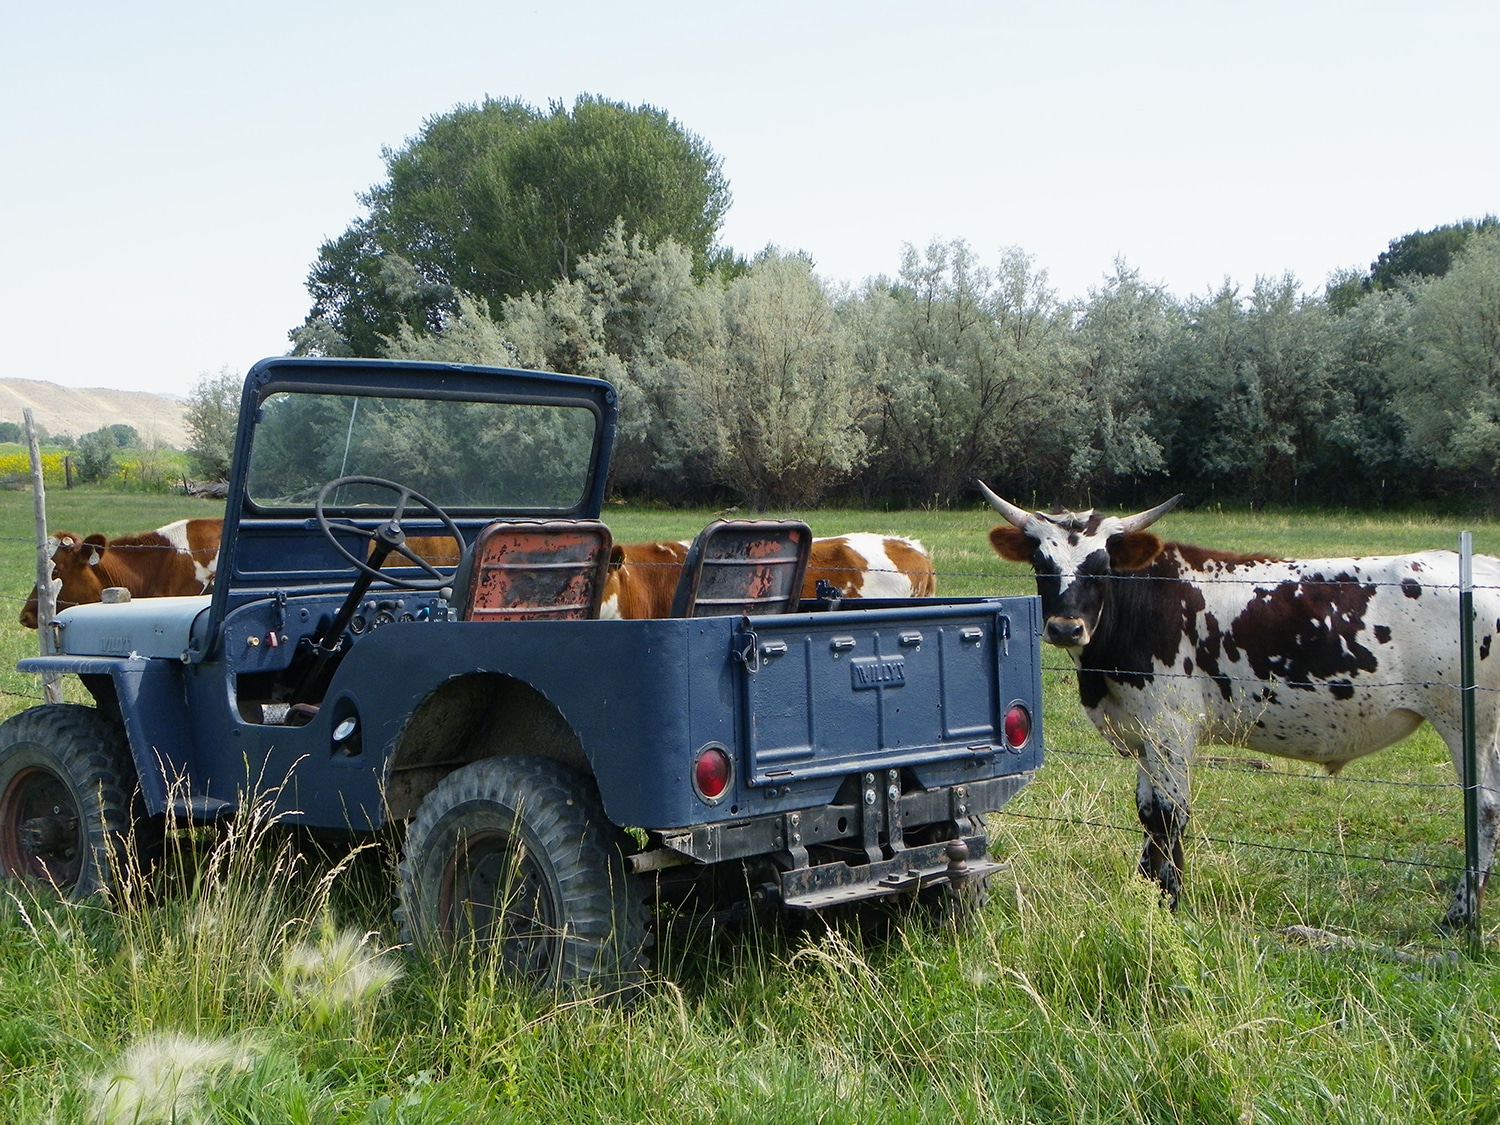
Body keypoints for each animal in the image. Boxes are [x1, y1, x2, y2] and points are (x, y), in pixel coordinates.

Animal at [979, 481, 1500, 929]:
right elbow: (1147, 813)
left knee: (1485, 807)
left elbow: (1169, 815)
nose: (1066, 628)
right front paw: (1144, 892)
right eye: (1040, 562)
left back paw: (1459, 917)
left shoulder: (1171, 728)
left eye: (1101, 564)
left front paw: (1170, 900)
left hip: (1466, 721)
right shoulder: (1142, 732)